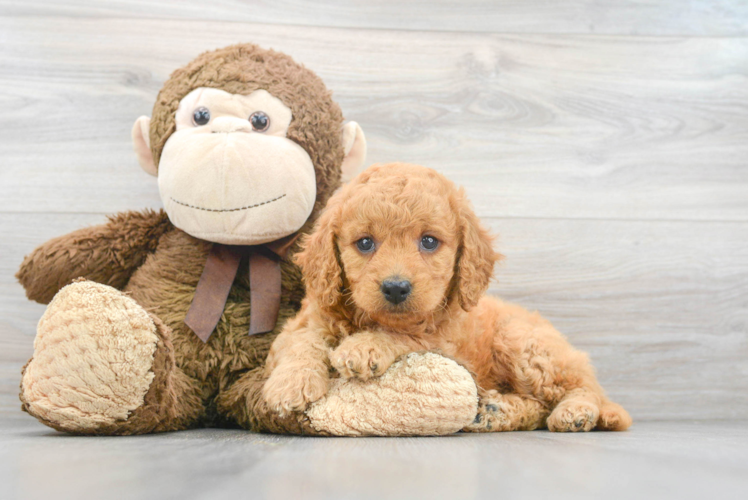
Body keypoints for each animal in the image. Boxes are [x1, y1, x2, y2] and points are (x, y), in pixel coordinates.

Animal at [262, 162, 632, 432]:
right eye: (365, 243)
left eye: (429, 241)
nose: (395, 287)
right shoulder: (307, 319)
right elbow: (303, 342)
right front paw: (289, 385)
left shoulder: (443, 343)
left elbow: (404, 334)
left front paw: (364, 347)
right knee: (540, 407)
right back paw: (493, 411)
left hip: (524, 345)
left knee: (579, 387)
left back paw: (576, 412)